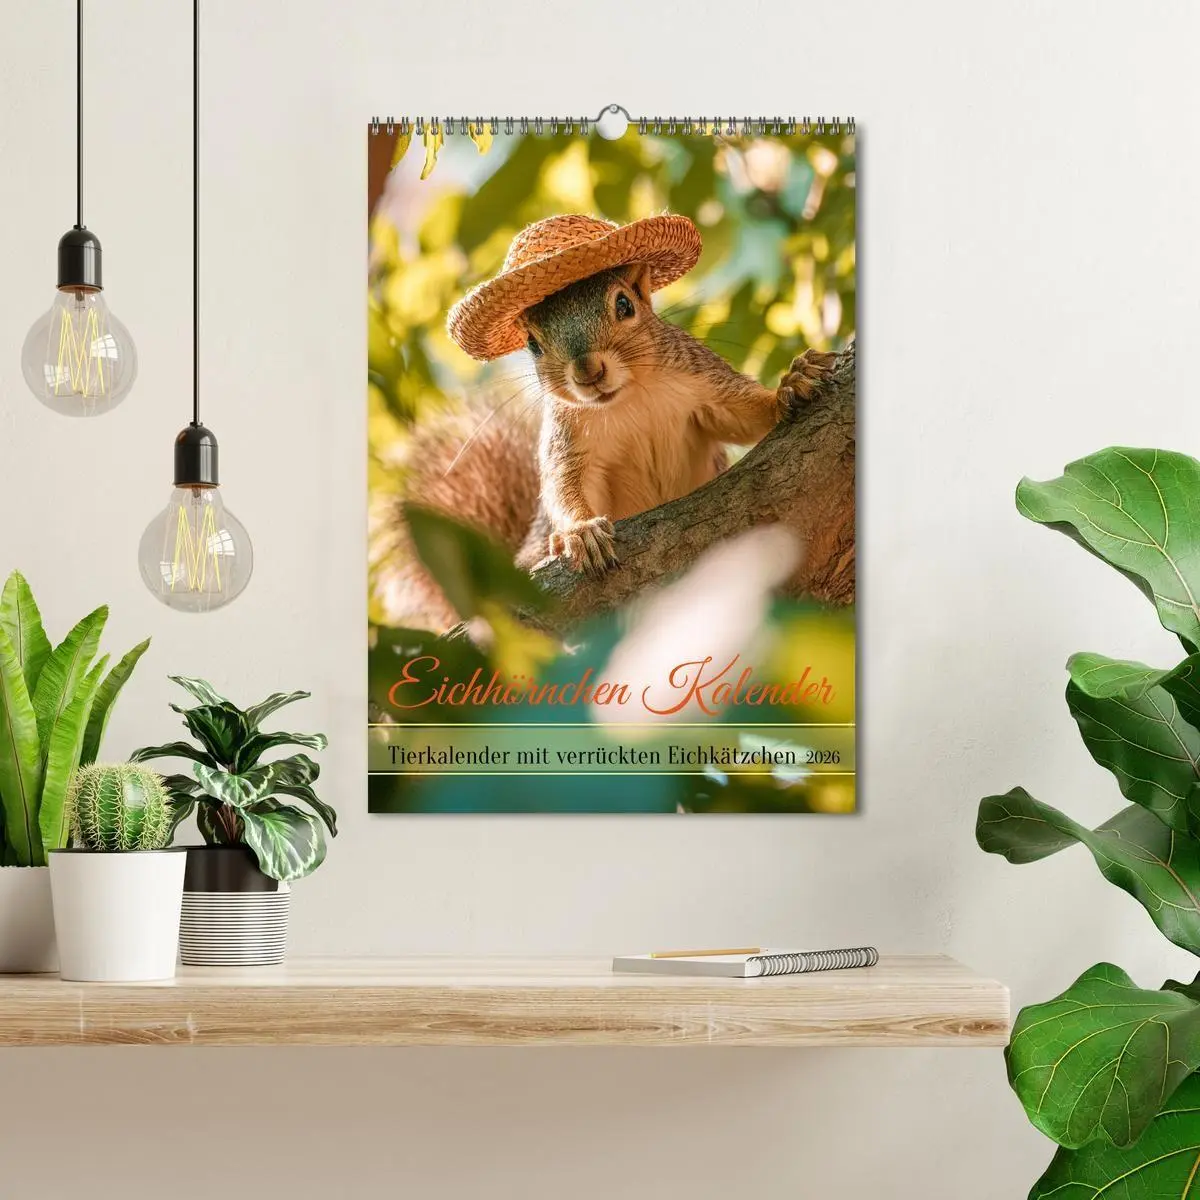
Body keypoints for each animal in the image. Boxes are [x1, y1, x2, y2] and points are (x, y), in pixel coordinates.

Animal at [372, 261, 835, 630]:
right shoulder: (569, 444)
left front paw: (789, 387)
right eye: (533, 344)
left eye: (625, 305)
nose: (588, 371)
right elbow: (564, 487)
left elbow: (743, 413)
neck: (627, 399)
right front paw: (581, 533)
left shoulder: (704, 384)